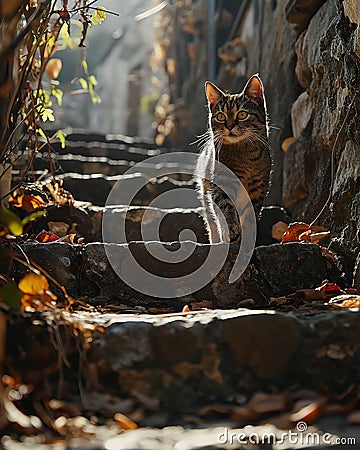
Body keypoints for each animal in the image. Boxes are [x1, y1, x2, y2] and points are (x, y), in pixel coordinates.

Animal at [197, 74, 270, 243]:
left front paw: (247, 237)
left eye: (242, 114)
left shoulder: (258, 187)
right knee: (211, 222)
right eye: (220, 116)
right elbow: (226, 208)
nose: (229, 126)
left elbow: (250, 216)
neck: (244, 154)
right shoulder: (221, 184)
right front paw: (230, 230)